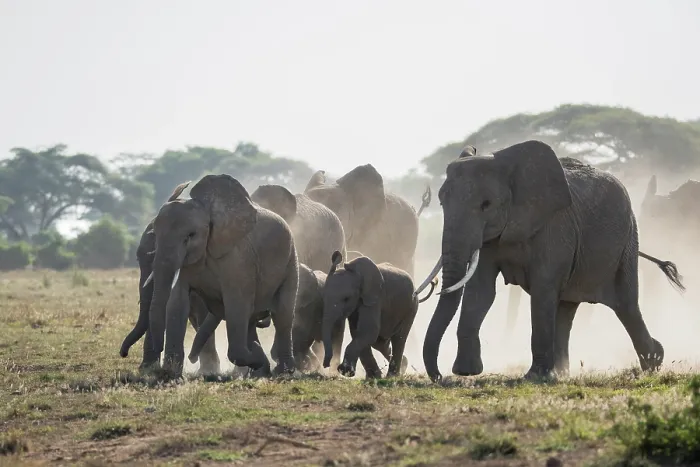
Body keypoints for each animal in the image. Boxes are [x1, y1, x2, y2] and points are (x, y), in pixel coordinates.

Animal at [121, 174, 299, 378]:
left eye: (190, 236)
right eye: (155, 235)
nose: (124, 354)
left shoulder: (238, 258)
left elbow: (236, 303)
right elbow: (177, 303)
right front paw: (172, 376)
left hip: (291, 261)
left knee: (282, 315)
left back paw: (283, 371)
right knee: (251, 319)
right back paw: (260, 368)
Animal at [321, 251, 437, 379]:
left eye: (346, 299)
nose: (326, 364)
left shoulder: (375, 298)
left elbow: (368, 331)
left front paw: (345, 371)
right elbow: (358, 332)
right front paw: (372, 377)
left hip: (411, 307)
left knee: (399, 338)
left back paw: (392, 376)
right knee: (380, 343)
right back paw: (403, 365)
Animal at [415, 140, 685, 382]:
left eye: (486, 205)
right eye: (441, 201)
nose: (439, 377)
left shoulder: (554, 227)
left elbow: (542, 289)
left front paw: (534, 377)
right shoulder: (490, 237)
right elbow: (480, 291)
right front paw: (466, 372)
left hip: (628, 239)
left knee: (625, 305)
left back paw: (654, 362)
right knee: (567, 308)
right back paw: (562, 374)